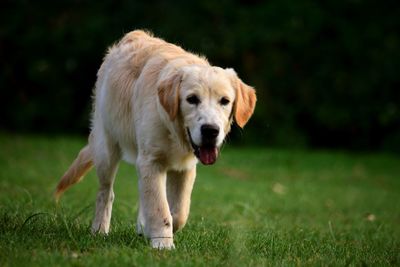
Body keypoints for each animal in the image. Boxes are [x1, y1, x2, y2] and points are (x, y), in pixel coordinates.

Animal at [55, 30, 256, 250]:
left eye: (225, 101)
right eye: (192, 99)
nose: (210, 130)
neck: (174, 131)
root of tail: (133, 34)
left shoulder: (184, 167)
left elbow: (178, 212)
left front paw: (153, 231)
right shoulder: (150, 161)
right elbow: (160, 208)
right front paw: (163, 244)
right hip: (106, 147)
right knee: (105, 192)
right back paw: (99, 230)